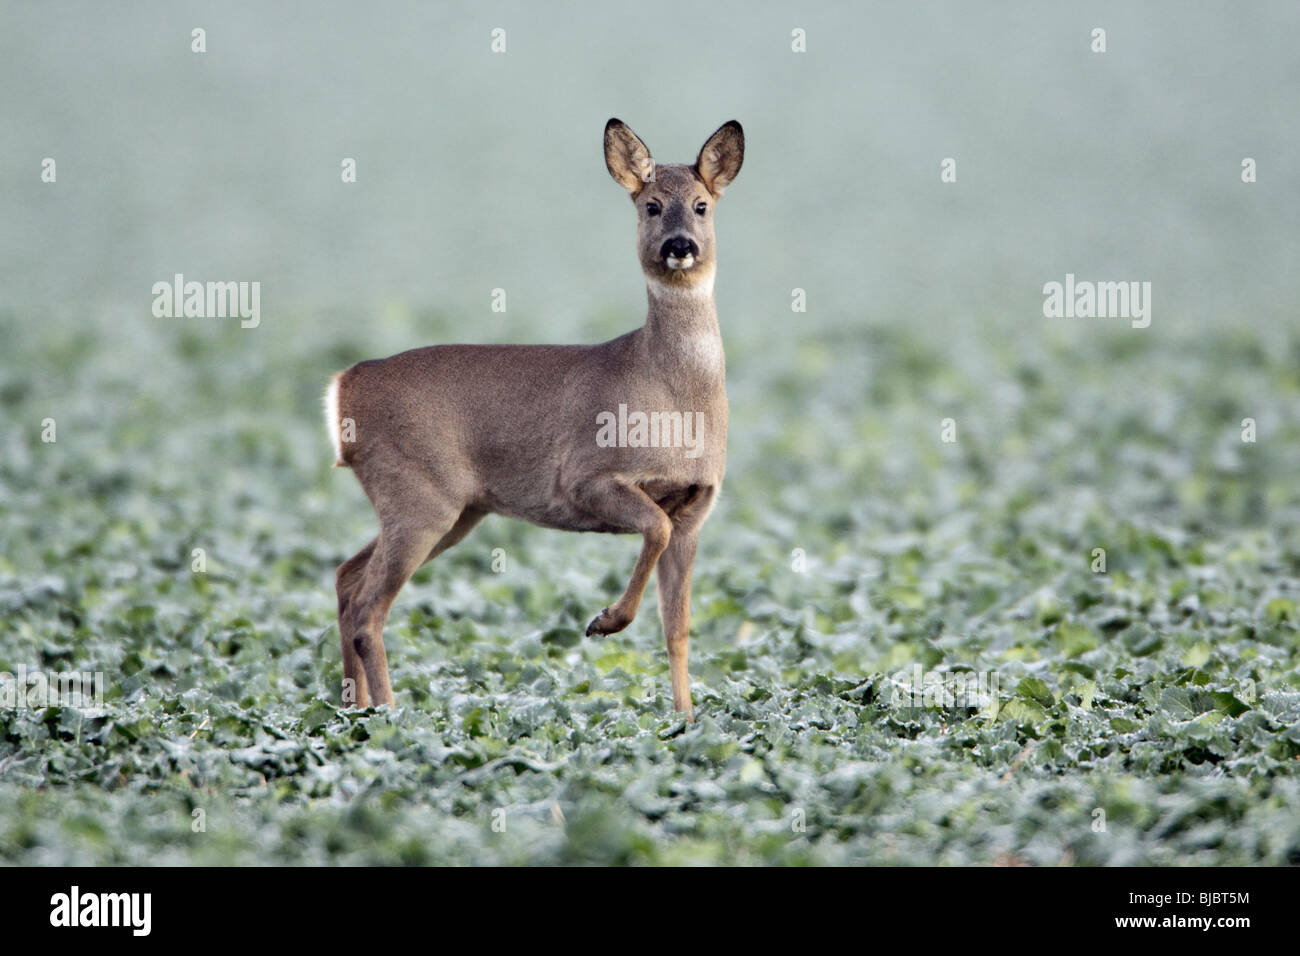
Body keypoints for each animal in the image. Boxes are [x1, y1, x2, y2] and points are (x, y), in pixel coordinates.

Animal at [323, 118, 744, 720]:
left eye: (703, 205)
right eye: (651, 205)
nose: (679, 246)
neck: (675, 397)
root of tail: (344, 386)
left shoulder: (695, 508)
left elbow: (679, 628)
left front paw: (685, 719)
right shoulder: (586, 476)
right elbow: (654, 531)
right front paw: (604, 622)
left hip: (451, 510)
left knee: (345, 578)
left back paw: (350, 711)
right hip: (419, 497)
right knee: (366, 608)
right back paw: (390, 717)